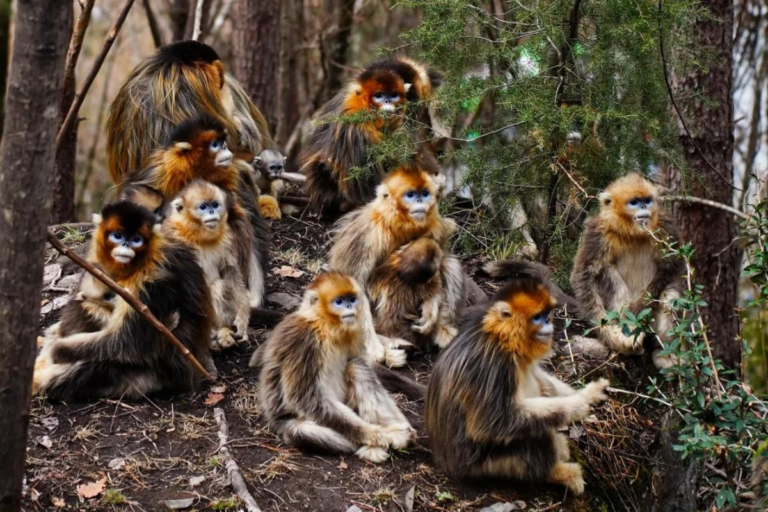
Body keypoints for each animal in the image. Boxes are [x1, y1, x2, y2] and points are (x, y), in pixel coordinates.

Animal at [32, 201, 213, 401]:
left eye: (136, 239)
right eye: (117, 236)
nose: (126, 244)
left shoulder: (152, 277)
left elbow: (129, 344)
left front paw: (56, 349)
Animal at [164, 180, 251, 351]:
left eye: (215, 205)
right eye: (203, 207)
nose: (211, 211)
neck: (198, 237)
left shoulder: (226, 239)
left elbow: (230, 269)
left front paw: (242, 317)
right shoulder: (172, 236)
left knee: (217, 286)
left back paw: (222, 330)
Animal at [257, 272, 415, 462]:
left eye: (352, 299)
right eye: (339, 302)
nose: (349, 306)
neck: (325, 326)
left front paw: (395, 428)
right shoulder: (304, 340)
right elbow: (307, 400)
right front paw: (380, 435)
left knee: (357, 366)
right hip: (286, 423)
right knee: (299, 431)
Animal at [425, 276, 610, 494]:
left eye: (547, 315)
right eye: (537, 318)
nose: (548, 324)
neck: (501, 338)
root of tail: (445, 461)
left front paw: (590, 393)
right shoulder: (492, 365)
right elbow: (491, 423)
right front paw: (577, 405)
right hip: (485, 465)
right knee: (534, 433)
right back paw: (558, 473)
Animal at [569, 173, 685, 369]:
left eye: (647, 200)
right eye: (634, 202)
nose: (644, 206)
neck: (632, 234)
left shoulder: (665, 226)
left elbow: (673, 266)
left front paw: (641, 307)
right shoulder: (598, 232)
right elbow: (584, 275)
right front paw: (610, 335)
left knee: (669, 300)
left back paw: (664, 352)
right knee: (608, 272)